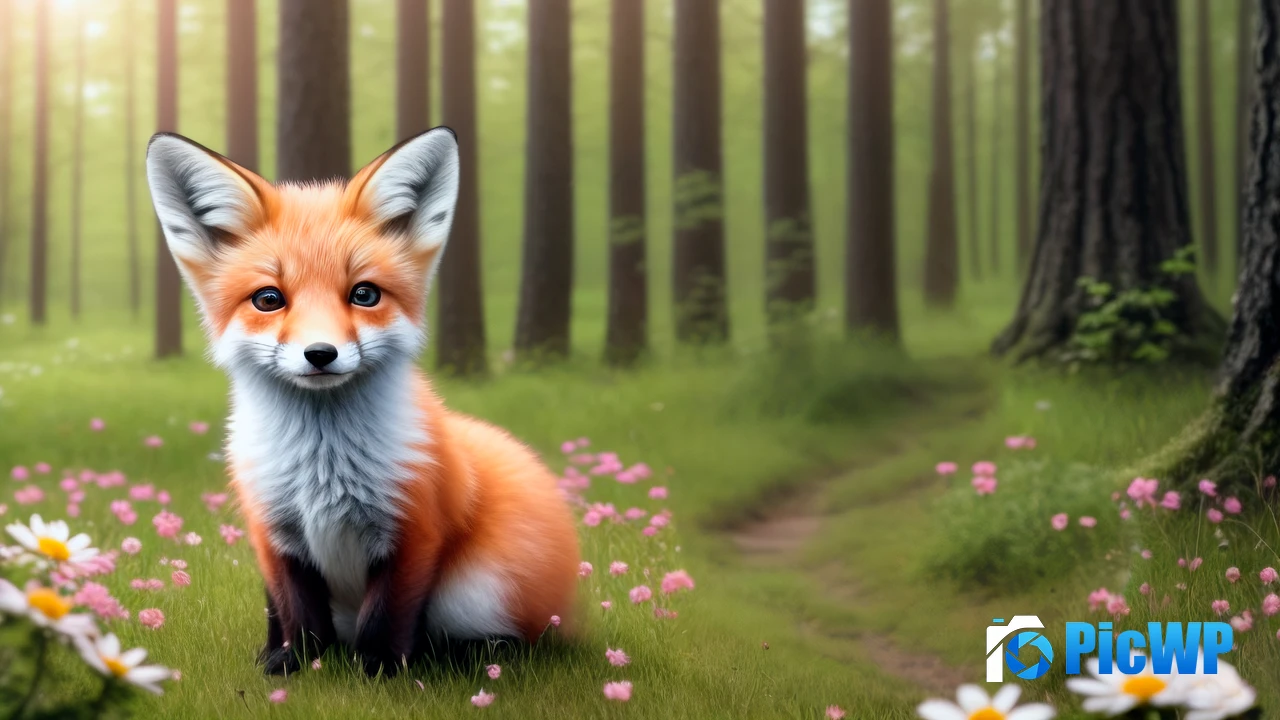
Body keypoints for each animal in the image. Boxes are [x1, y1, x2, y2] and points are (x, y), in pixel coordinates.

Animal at [144, 128, 581, 677]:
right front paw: (294, 666)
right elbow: (296, 615)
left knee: (508, 638)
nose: (320, 353)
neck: (321, 467)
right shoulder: (274, 532)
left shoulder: (413, 528)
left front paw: (379, 673)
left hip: (478, 590)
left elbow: (386, 618)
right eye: (268, 299)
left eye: (364, 294)